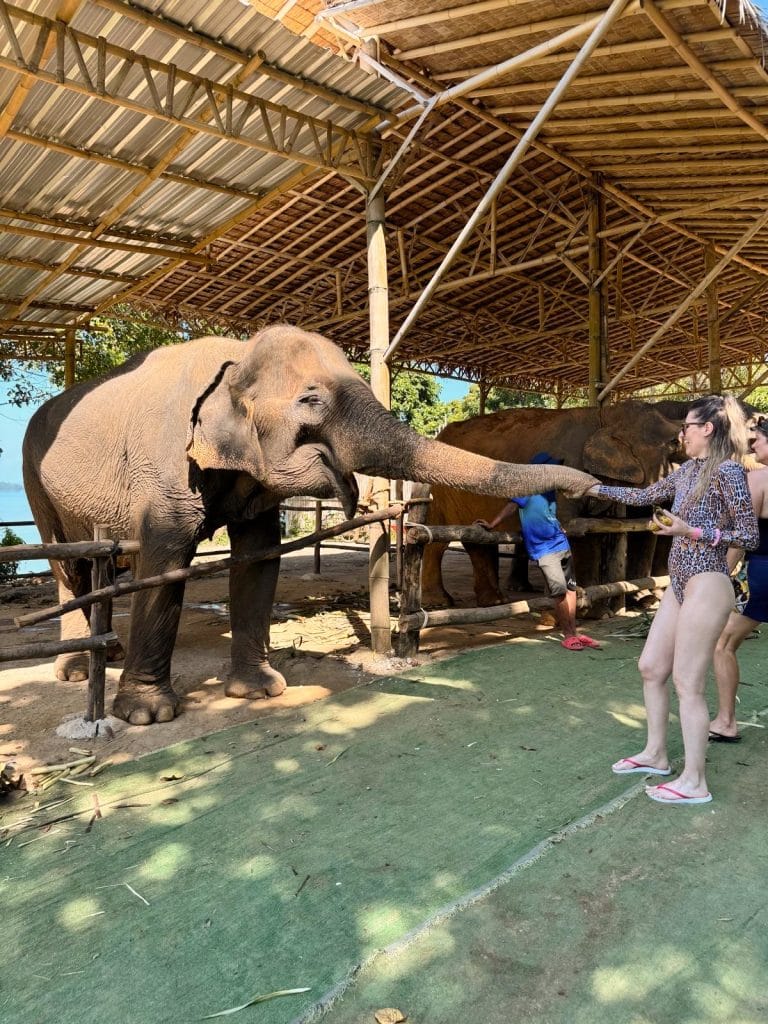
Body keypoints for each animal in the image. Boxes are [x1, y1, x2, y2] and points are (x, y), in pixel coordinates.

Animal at [22, 325, 598, 725]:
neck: (236, 357)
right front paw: (148, 715)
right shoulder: (162, 468)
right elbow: (164, 562)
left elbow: (258, 557)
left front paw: (259, 691)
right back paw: (78, 671)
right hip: (35, 480)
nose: (590, 485)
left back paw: (107, 653)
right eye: (312, 399)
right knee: (66, 565)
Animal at [420, 400, 682, 609]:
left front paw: (601, 610)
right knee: (438, 541)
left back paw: (495, 602)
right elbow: (574, 531)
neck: (604, 415)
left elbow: (594, 531)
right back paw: (439, 603)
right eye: (675, 444)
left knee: (478, 541)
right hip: (439, 490)